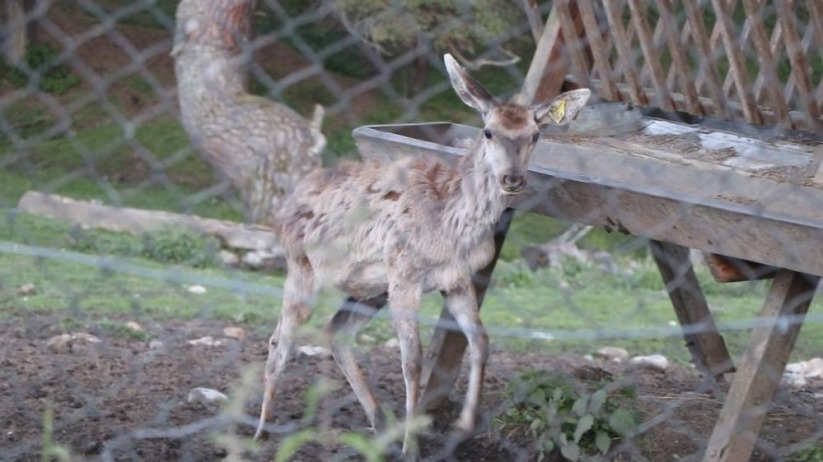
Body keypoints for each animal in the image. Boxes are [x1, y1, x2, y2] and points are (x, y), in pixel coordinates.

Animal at [254, 54, 588, 458]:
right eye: (488, 131)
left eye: (535, 135)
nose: (512, 179)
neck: (451, 230)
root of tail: (282, 211)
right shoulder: (405, 272)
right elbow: (412, 359)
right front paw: (411, 447)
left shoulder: (457, 279)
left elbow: (481, 341)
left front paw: (462, 425)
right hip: (303, 266)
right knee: (280, 339)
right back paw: (261, 431)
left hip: (370, 288)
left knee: (336, 332)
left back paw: (379, 423)